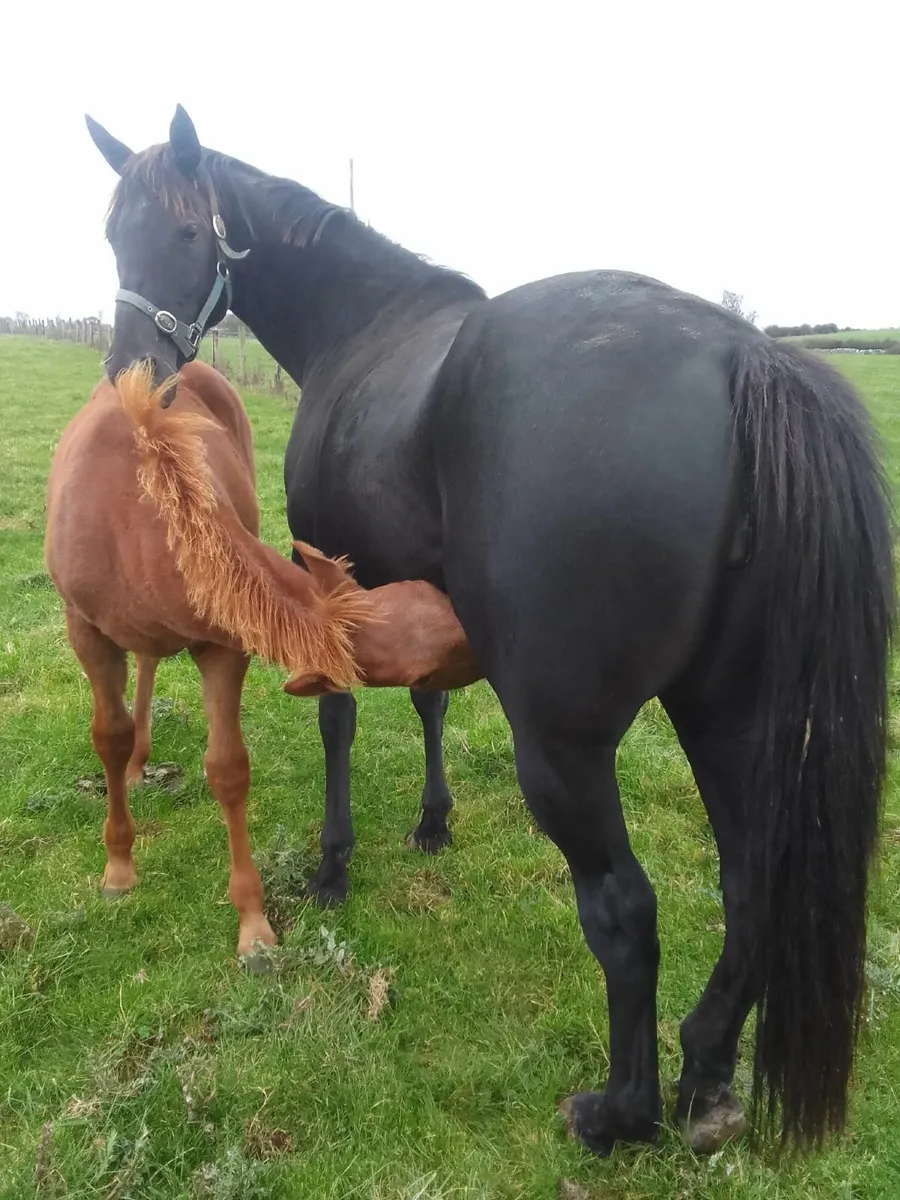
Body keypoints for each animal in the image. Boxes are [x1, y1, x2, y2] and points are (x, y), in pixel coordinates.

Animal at [45, 358, 479, 965]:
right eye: (424, 666)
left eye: (434, 596)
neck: (135, 522)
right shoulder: (84, 631)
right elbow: (108, 736)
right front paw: (119, 867)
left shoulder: (223, 645)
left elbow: (228, 769)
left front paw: (253, 924)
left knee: (150, 660)